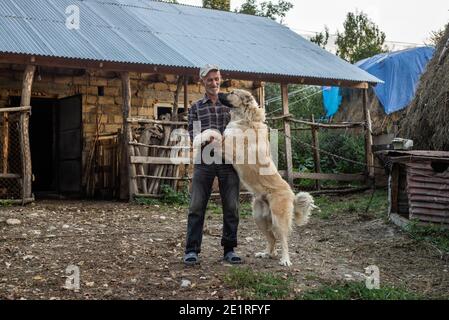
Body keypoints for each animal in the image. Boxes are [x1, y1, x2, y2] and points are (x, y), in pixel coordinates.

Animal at [198, 89, 316, 266]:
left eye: (232, 92)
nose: (218, 93)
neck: (245, 118)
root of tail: (292, 194)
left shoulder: (230, 149)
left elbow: (214, 133)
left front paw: (199, 138)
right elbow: (212, 132)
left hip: (278, 219)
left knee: (283, 239)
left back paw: (285, 260)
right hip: (258, 218)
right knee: (272, 239)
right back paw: (266, 253)